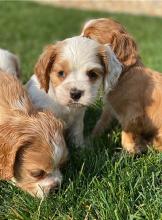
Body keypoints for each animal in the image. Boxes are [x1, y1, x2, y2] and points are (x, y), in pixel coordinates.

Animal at [82, 18, 162, 154]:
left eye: (88, 38)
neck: (123, 75)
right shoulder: (109, 108)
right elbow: (101, 123)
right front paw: (90, 140)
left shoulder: (132, 113)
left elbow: (126, 132)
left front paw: (129, 151)